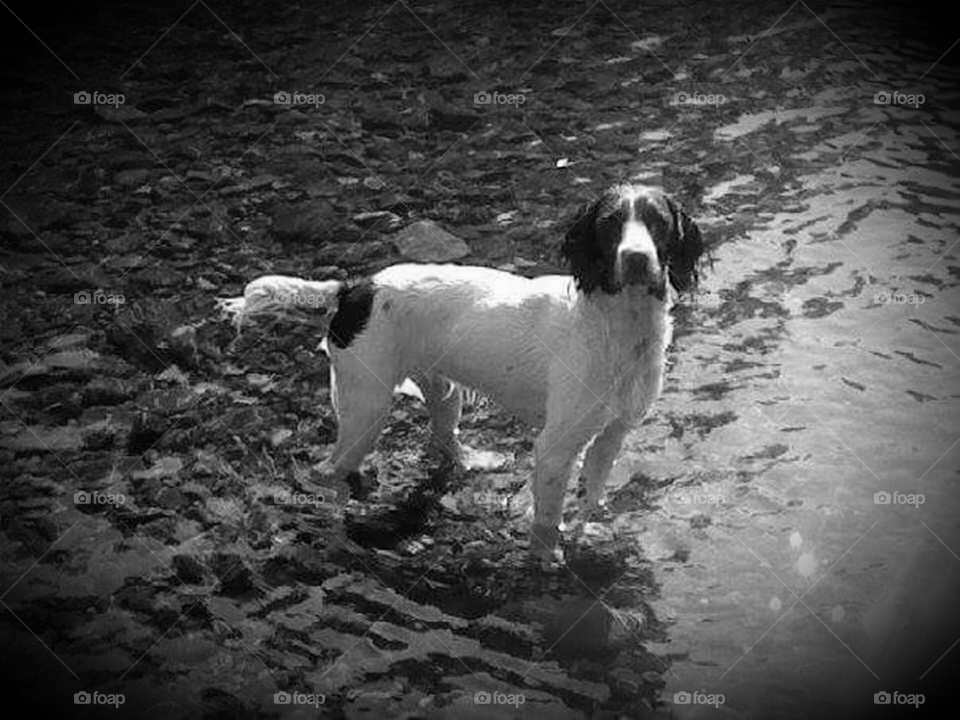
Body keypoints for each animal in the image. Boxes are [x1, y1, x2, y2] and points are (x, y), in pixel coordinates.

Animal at [218, 184, 700, 556]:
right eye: (609, 224)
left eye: (658, 222)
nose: (636, 258)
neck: (615, 327)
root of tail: (355, 287)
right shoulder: (555, 446)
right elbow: (547, 520)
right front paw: (548, 560)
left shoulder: (612, 435)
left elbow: (589, 498)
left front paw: (585, 536)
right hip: (366, 409)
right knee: (332, 471)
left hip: (443, 391)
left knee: (442, 436)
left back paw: (471, 459)